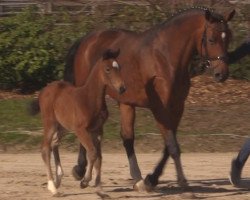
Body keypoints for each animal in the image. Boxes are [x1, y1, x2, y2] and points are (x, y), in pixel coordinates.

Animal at [30, 49, 125, 196]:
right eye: (108, 69)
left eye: (119, 67)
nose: (122, 88)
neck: (90, 99)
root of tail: (43, 91)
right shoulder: (81, 130)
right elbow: (92, 152)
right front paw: (84, 182)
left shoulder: (98, 130)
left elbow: (99, 157)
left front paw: (100, 190)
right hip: (50, 123)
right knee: (45, 148)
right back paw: (52, 187)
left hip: (63, 127)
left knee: (54, 143)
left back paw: (58, 180)